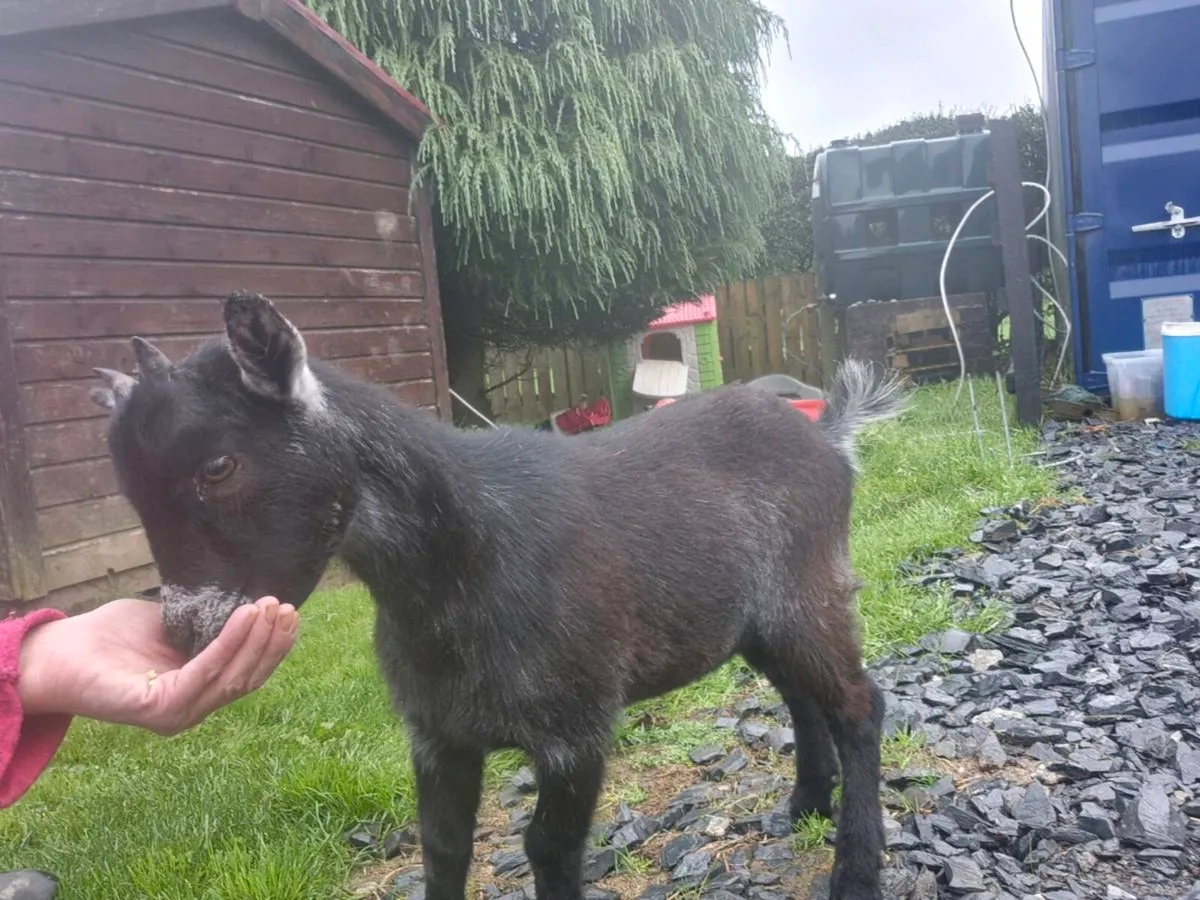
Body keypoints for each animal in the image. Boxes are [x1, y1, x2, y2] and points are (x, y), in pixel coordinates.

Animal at [91, 292, 910, 900]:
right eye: (127, 490)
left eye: (218, 466)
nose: (184, 630)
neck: (464, 560)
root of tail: (828, 439)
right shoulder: (438, 733)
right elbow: (445, 845)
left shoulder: (577, 728)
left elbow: (547, 847)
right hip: (754, 620)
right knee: (803, 695)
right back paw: (805, 804)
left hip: (809, 591)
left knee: (859, 704)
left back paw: (855, 870)